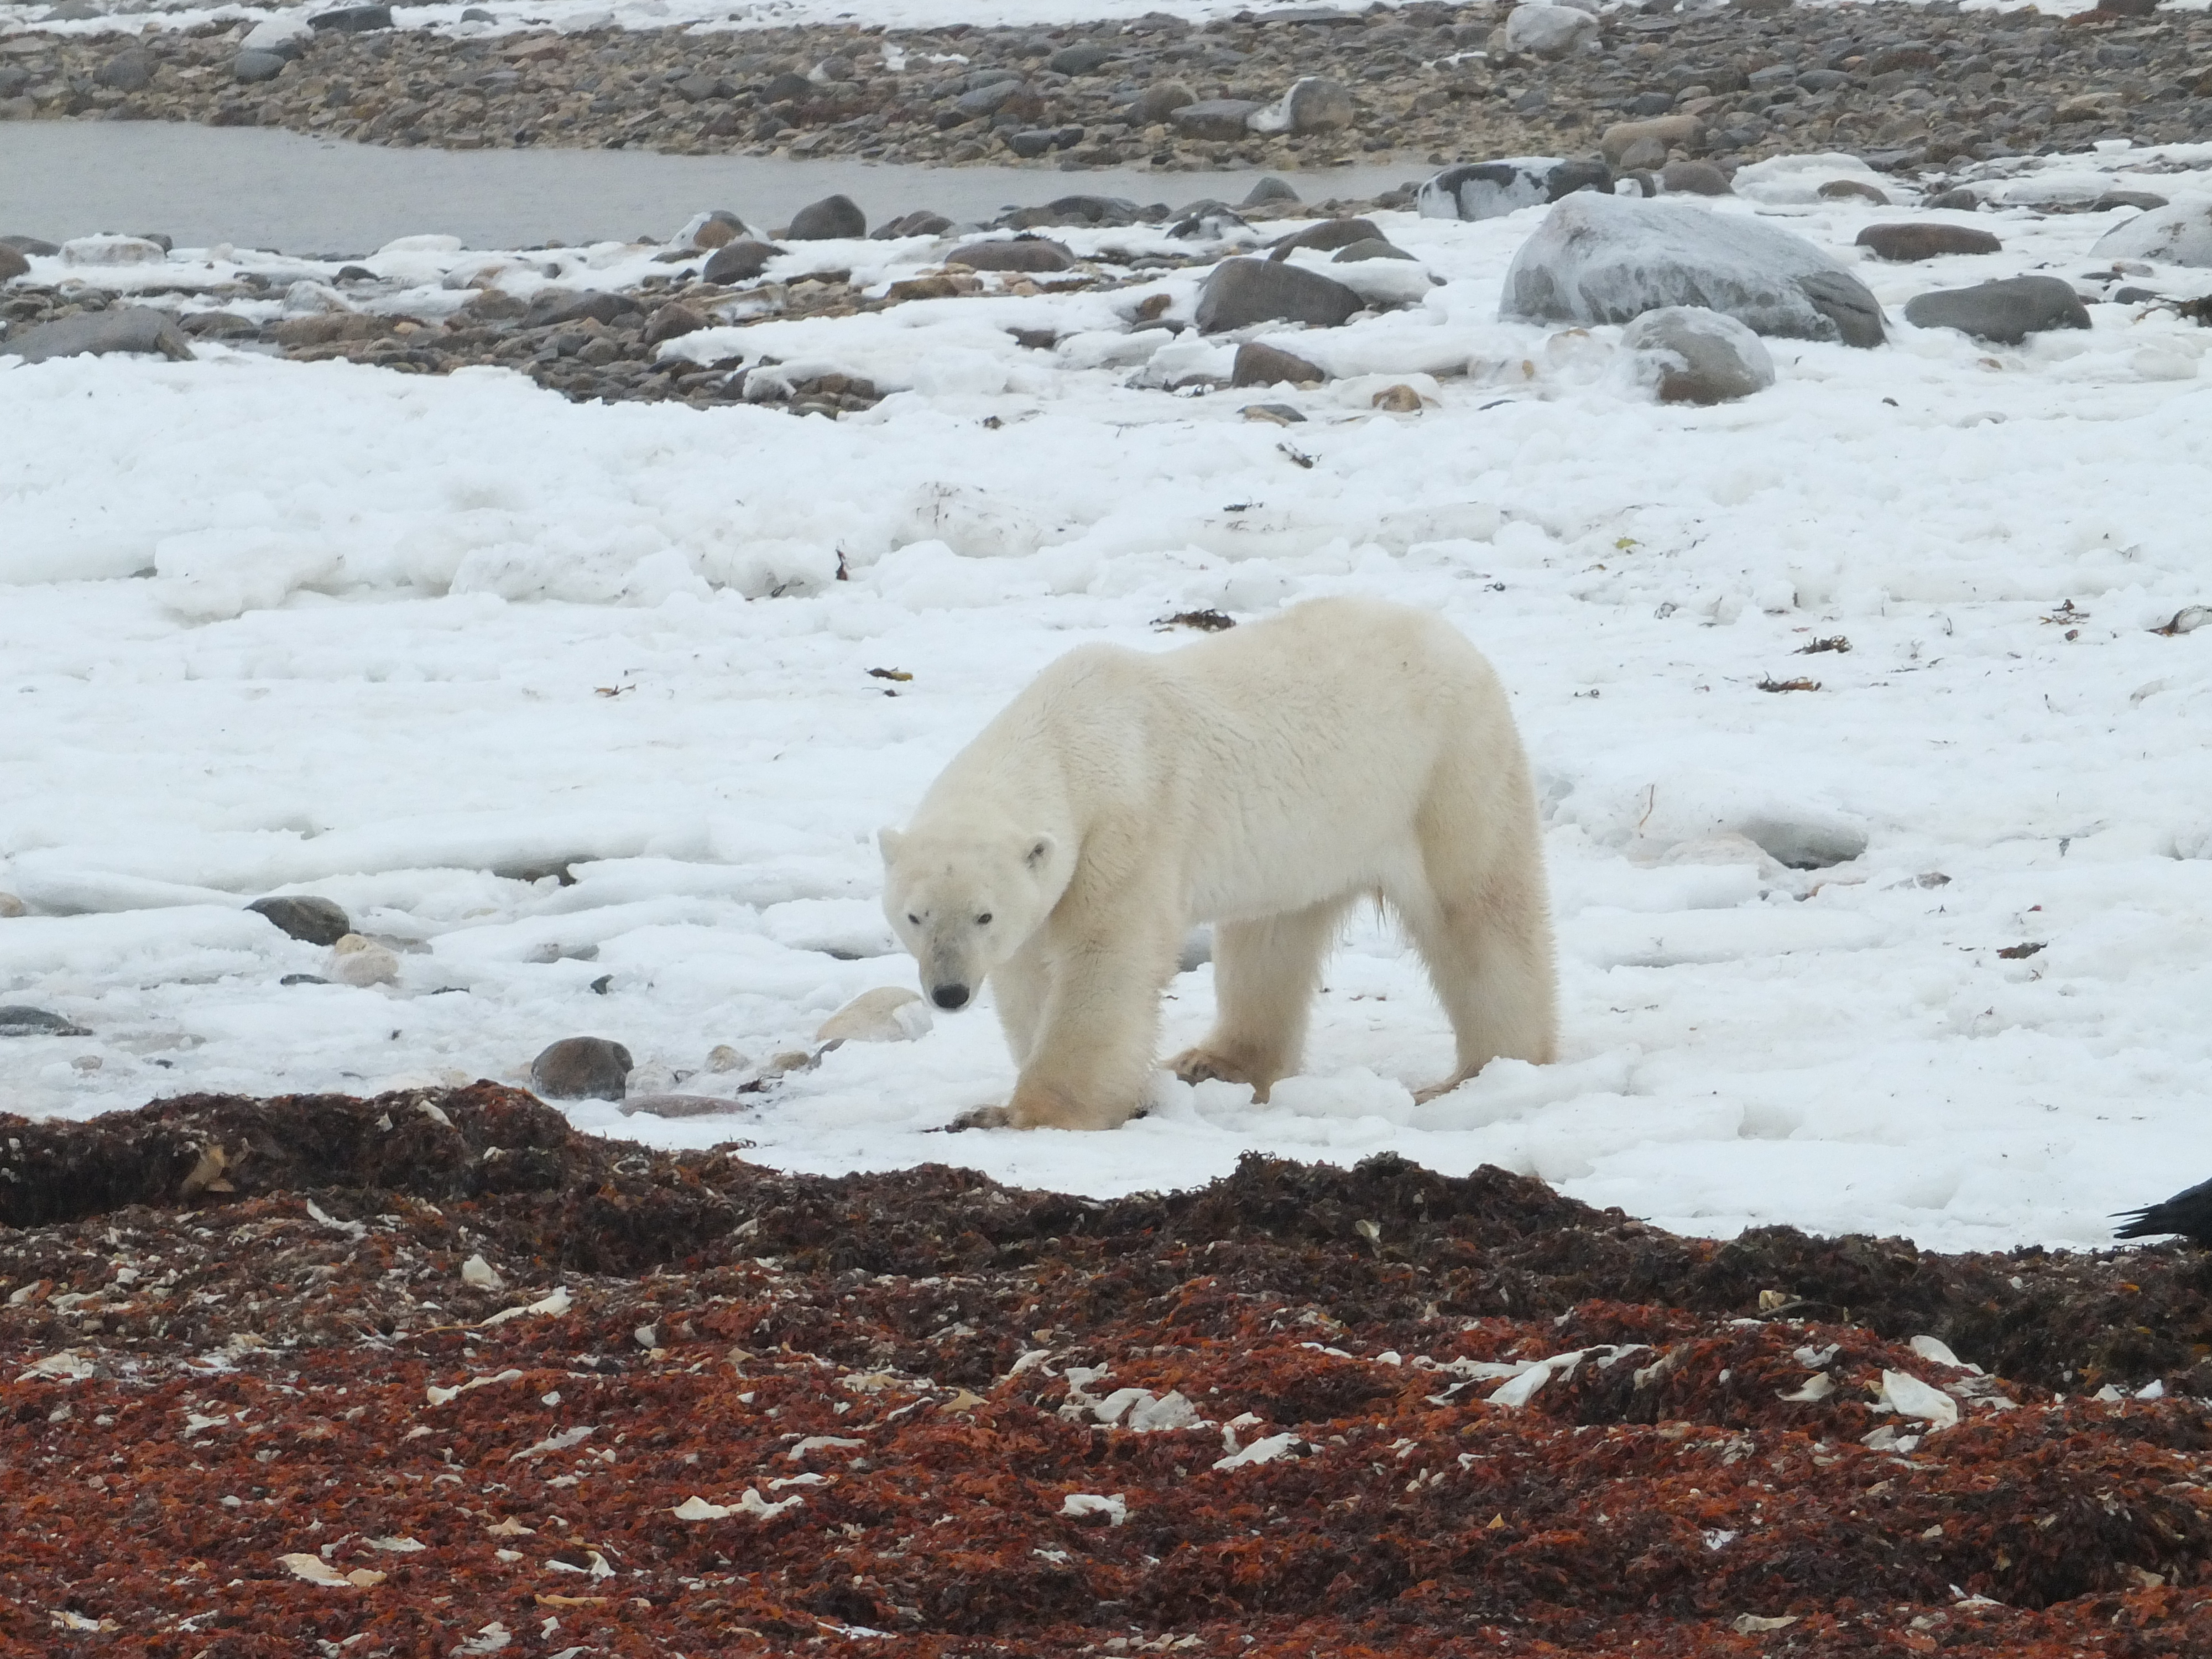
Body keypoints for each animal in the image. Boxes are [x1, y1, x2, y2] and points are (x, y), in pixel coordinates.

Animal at [878, 596, 1557, 1131]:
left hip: (1446, 773)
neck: (1071, 739)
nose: (948, 992)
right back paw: (1213, 1063)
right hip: (1310, 842)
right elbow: (1028, 978)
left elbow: (1106, 960)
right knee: (1271, 940)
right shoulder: (1052, 884)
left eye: (983, 915)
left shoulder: (1128, 830)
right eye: (915, 916)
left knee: (1478, 913)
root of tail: (1455, 639)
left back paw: (1485, 1072)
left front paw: (1028, 1114)